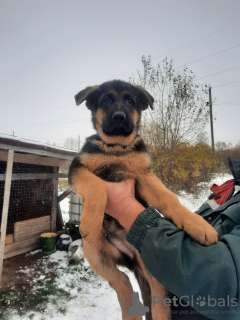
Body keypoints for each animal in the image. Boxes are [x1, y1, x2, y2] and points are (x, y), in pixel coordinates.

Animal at [68, 80, 218, 320]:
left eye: (130, 101)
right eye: (106, 100)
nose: (119, 116)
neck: (117, 148)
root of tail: (129, 256)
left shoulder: (144, 176)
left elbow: (169, 198)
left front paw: (198, 225)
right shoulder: (78, 168)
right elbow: (97, 186)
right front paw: (90, 222)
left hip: (155, 269)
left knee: (155, 299)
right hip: (94, 252)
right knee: (122, 283)